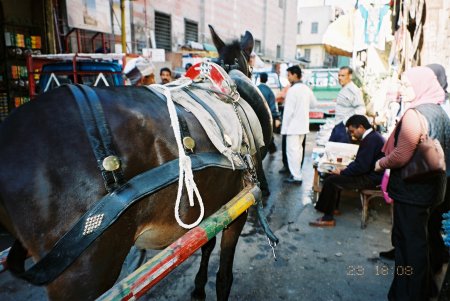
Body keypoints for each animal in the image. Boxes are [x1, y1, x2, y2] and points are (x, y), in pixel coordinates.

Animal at [0, 26, 270, 300]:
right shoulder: (239, 205)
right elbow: (224, 276)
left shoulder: (217, 206)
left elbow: (207, 244)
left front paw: (198, 288)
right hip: (82, 274)